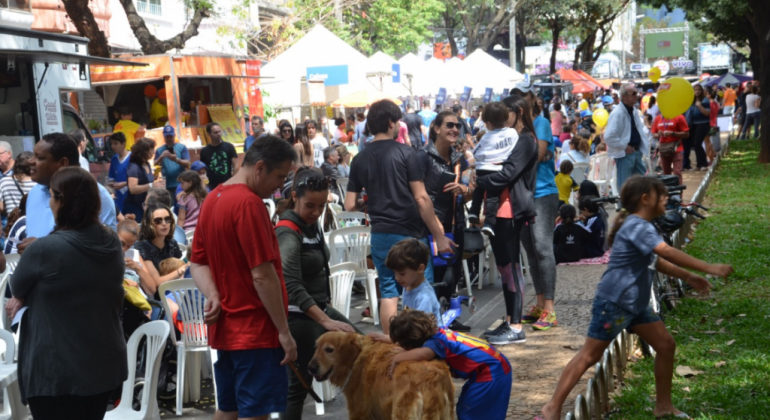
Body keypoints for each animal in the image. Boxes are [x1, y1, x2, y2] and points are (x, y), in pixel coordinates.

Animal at [306, 332, 452, 420]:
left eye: (329, 350)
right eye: (316, 347)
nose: (310, 368)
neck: (357, 357)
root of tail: (431, 379)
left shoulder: (359, 412)